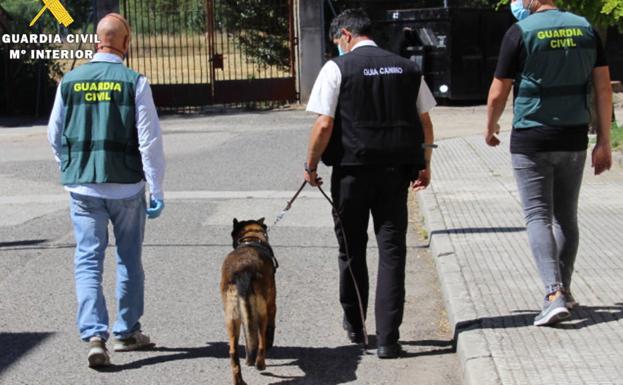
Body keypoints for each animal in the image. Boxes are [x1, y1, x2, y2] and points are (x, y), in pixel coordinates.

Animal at [221, 218, 276, 382]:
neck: (251, 238)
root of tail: (243, 272)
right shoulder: (272, 303)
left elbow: (249, 338)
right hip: (261, 313)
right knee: (261, 342)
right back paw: (260, 364)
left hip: (232, 318)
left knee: (233, 352)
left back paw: (239, 380)